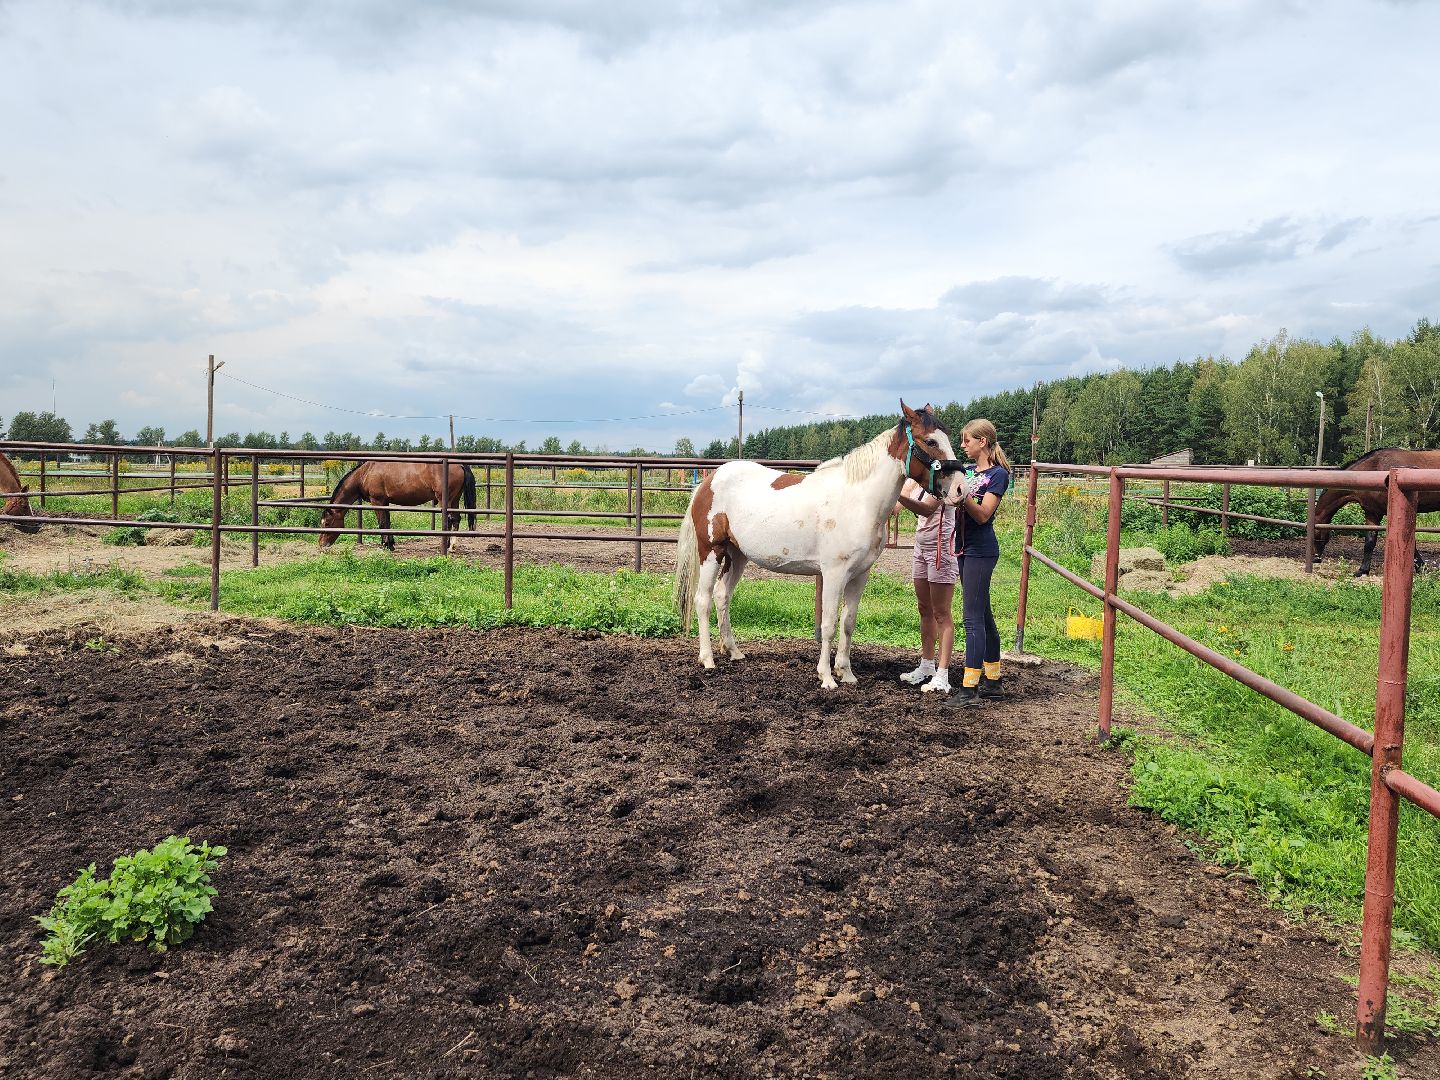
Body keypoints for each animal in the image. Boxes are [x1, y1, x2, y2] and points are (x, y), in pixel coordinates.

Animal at [318, 460, 477, 554]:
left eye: (327, 523)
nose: (321, 545)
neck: (366, 473)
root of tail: (459, 465)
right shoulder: (385, 502)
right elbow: (387, 523)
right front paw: (390, 544)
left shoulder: (377, 501)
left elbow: (382, 523)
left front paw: (384, 545)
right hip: (454, 500)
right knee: (456, 519)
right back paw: (452, 546)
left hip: (446, 499)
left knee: (450, 520)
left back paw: (448, 546)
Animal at [673, 401, 960, 689]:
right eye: (931, 441)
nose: (960, 489)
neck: (857, 500)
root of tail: (708, 482)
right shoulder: (834, 574)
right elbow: (829, 624)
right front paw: (827, 677)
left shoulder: (860, 575)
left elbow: (848, 623)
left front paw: (846, 673)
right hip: (712, 552)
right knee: (703, 600)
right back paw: (707, 658)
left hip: (737, 555)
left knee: (722, 596)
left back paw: (733, 651)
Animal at [1314, 447, 1440, 575]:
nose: (1316, 558)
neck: (1374, 468)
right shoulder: (1372, 513)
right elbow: (1370, 541)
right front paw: (1362, 570)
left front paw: (1421, 568)